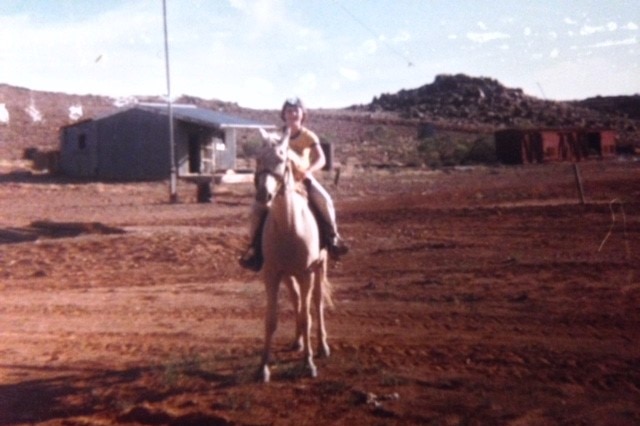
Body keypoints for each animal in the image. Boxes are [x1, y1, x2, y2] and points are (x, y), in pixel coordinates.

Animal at [252, 128, 332, 382]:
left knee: (316, 303)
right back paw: (298, 342)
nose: (263, 195)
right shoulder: (272, 274)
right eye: (258, 159)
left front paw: (309, 364)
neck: (290, 226)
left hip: (319, 267)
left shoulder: (307, 273)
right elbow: (271, 320)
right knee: (297, 300)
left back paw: (322, 347)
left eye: (281, 159)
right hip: (288, 275)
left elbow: (307, 317)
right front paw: (263, 368)